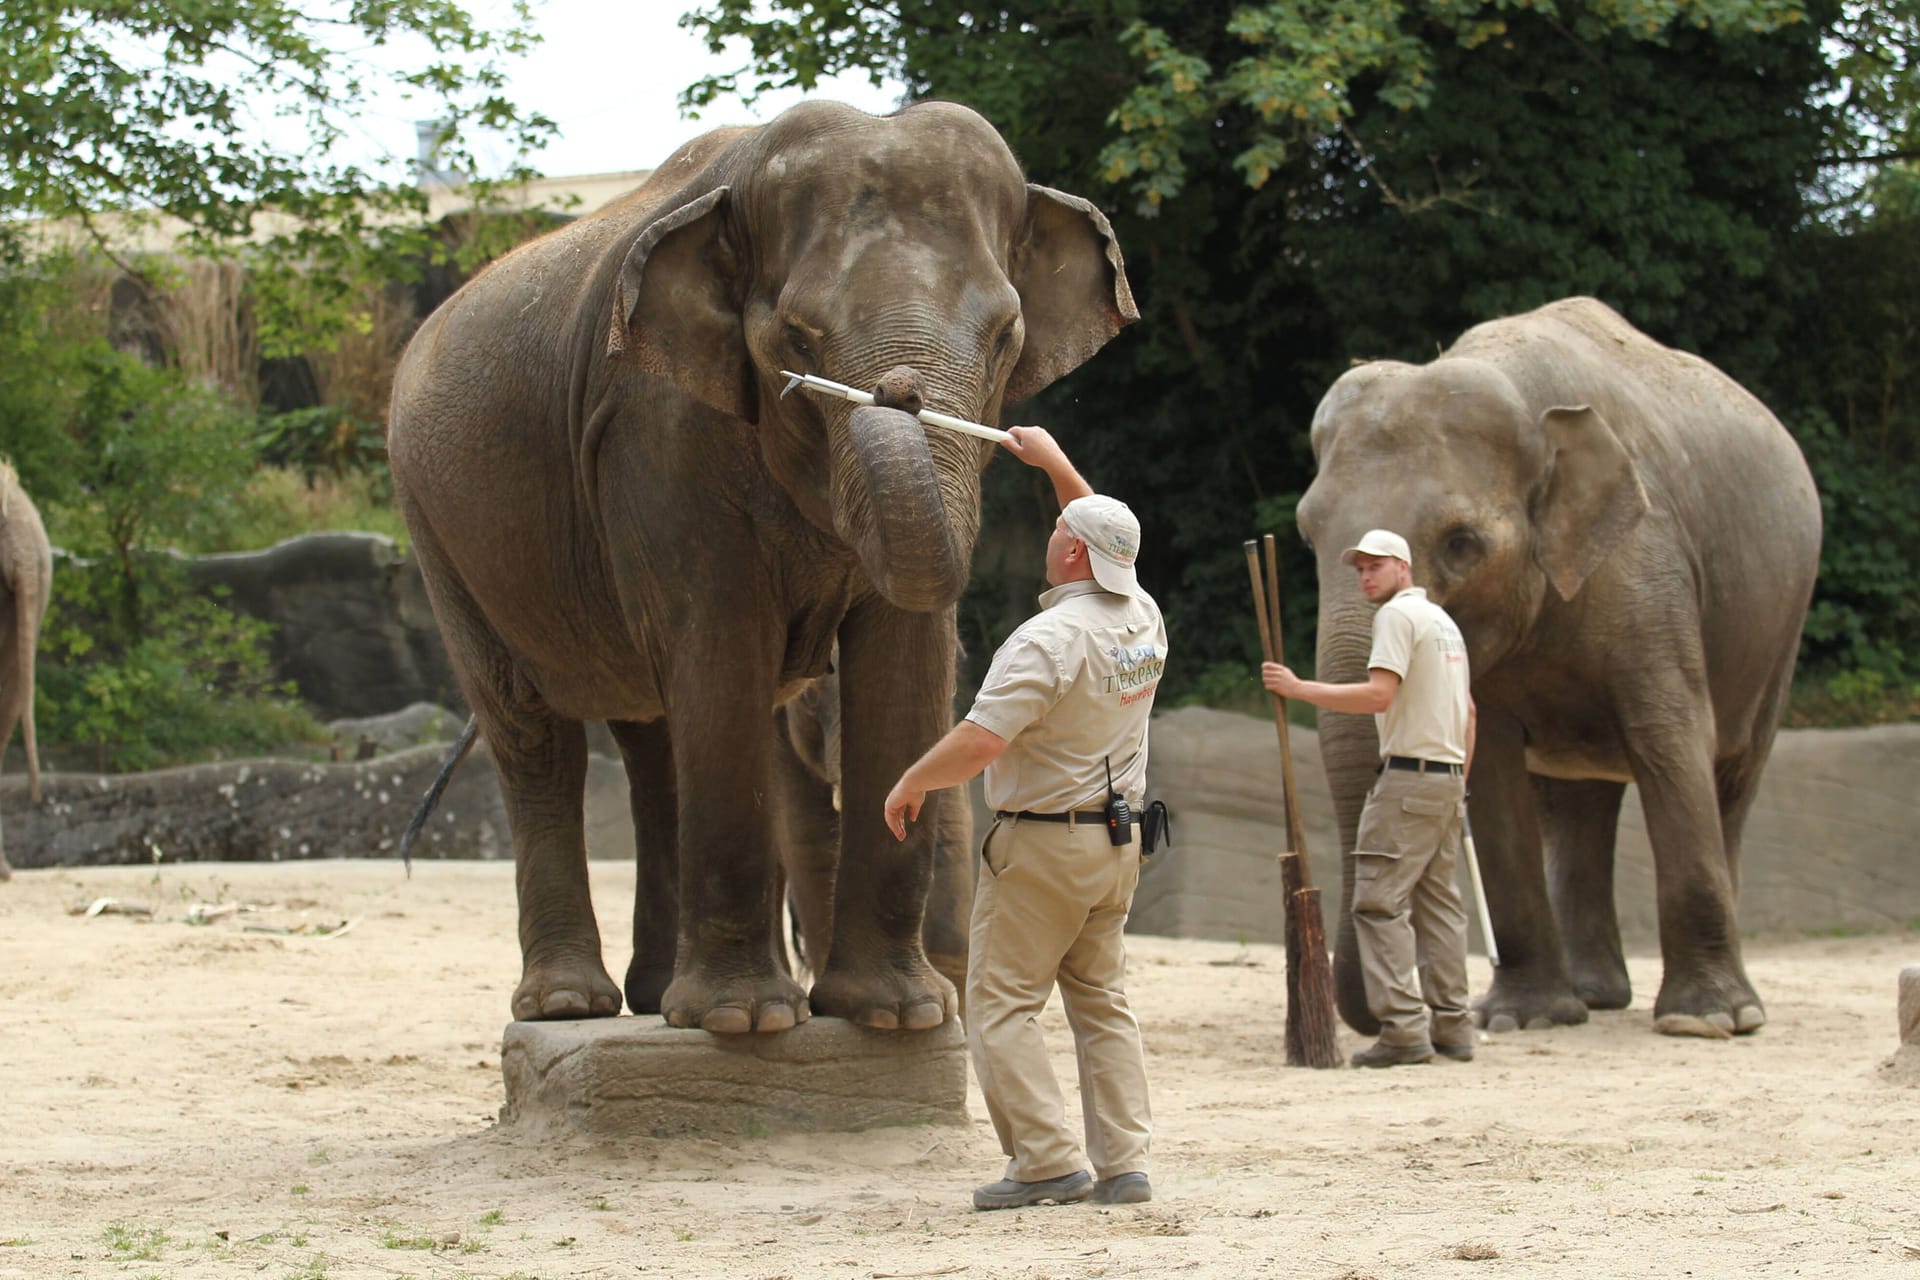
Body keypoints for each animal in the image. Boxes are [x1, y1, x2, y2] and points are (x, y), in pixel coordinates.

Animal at [391, 105, 1136, 1036]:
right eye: (794, 339)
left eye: (1007, 338)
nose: (897, 391)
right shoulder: (657, 426)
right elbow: (721, 644)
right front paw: (747, 1023)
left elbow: (905, 655)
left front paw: (896, 1017)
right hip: (438, 533)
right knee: (532, 731)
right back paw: (569, 1006)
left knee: (650, 742)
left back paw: (652, 998)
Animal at [1297, 297, 1820, 1043]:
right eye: (1307, 534)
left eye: (1462, 544)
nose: (1386, 1011)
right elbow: (1489, 774)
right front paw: (1522, 1018)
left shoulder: (1649, 564)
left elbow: (1671, 742)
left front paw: (1705, 1022)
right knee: (1577, 805)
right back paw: (1594, 998)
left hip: (1780, 624)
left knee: (1732, 778)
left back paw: (1737, 1007)